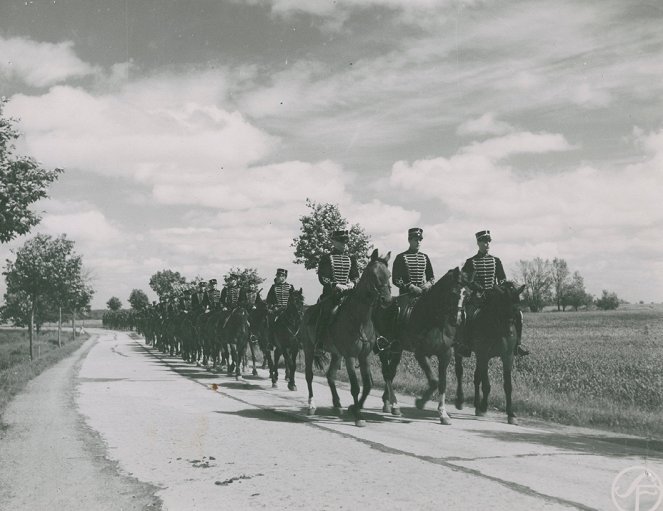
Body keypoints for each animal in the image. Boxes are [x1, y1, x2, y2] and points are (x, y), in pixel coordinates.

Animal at [300, 249, 392, 428]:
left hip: (336, 354)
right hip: (309, 348)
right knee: (309, 375)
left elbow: (368, 385)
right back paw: (312, 405)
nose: (387, 300)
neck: (359, 319)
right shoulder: (350, 356)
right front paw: (358, 416)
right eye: (374, 275)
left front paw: (355, 408)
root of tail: (307, 312)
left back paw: (337, 405)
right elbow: (355, 387)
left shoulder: (364, 356)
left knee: (330, 376)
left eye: (389, 275)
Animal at [376, 270, 474, 426]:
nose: (457, 320)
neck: (435, 321)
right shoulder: (421, 354)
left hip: (397, 349)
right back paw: (394, 404)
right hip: (384, 347)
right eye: (453, 292)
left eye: (468, 295)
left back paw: (388, 403)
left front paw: (443, 413)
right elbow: (434, 381)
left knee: (391, 372)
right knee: (386, 373)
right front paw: (421, 402)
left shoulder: (445, 355)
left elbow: (442, 383)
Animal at [454, 282, 528, 426]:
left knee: (476, 377)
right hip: (458, 350)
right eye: (502, 307)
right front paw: (484, 406)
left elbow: (508, 385)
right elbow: (487, 385)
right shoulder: (483, 355)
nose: (510, 333)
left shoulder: (507, 357)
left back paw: (476, 405)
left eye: (516, 309)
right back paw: (461, 401)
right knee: (459, 372)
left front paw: (511, 414)